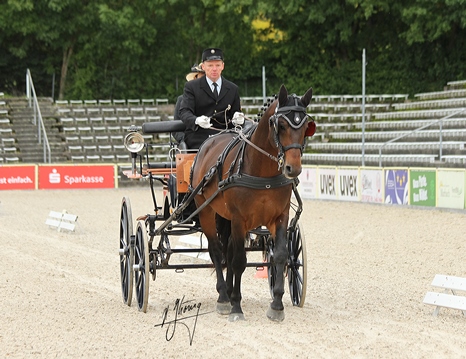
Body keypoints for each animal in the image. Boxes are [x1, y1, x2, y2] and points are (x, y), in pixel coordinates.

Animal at [190, 85, 316, 324]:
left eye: (306, 126)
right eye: (281, 125)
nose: (293, 168)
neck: (262, 170)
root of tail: (209, 142)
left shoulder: (280, 216)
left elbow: (281, 256)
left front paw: (276, 306)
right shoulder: (240, 218)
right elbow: (239, 260)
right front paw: (236, 308)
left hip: (226, 217)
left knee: (228, 250)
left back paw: (230, 293)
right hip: (206, 211)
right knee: (216, 251)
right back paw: (224, 297)